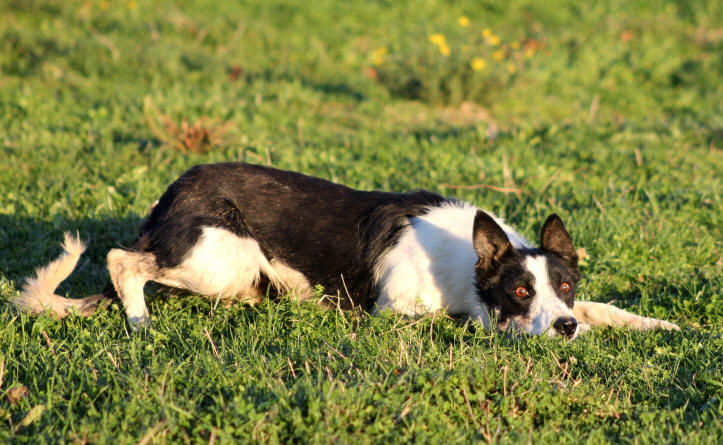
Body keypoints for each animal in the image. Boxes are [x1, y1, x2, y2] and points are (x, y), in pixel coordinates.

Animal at [15, 161, 680, 338]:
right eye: (519, 291)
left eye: (563, 286)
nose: (564, 329)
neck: (465, 262)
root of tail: (170, 196)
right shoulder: (397, 310)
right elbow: (462, 320)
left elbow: (605, 309)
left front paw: (658, 324)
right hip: (221, 255)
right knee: (120, 261)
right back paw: (139, 320)